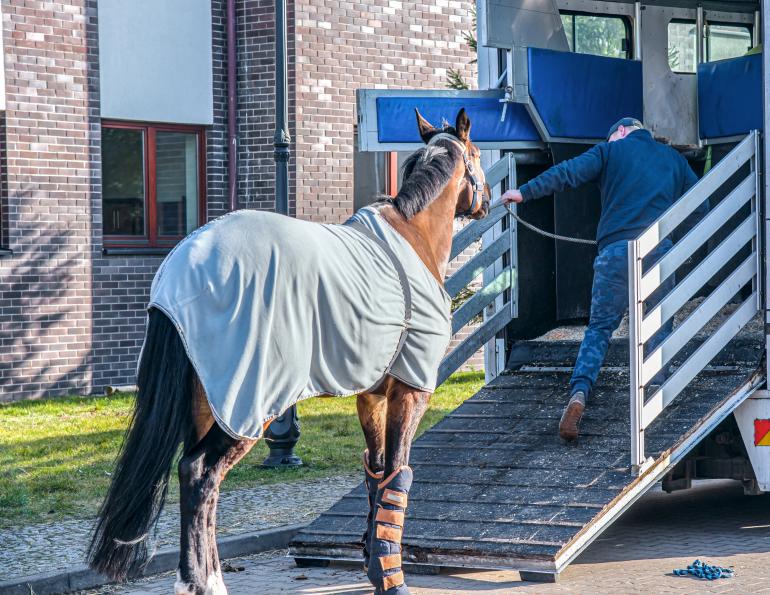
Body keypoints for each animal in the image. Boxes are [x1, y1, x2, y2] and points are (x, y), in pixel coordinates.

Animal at [87, 108, 488, 595]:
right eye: (478, 154)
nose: (487, 202)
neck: (412, 236)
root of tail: (177, 273)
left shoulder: (371, 395)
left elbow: (376, 475)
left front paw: (375, 566)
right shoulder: (410, 390)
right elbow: (397, 472)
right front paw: (392, 580)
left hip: (207, 403)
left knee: (203, 485)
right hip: (246, 404)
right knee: (200, 475)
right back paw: (201, 583)